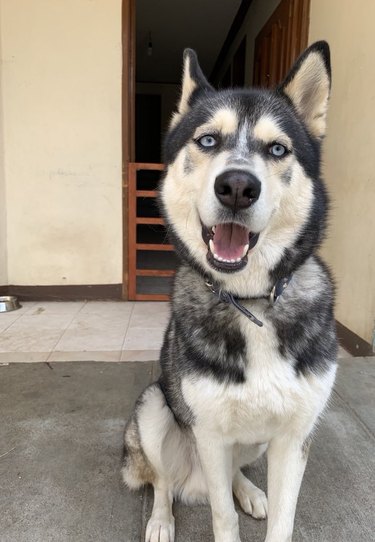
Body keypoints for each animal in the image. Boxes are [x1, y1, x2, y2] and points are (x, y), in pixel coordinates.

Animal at [122, 42, 338, 542]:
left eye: (277, 149)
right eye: (207, 141)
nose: (238, 186)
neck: (250, 302)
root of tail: (193, 483)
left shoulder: (293, 438)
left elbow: (284, 520)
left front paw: (261, 503)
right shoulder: (209, 434)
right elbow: (223, 517)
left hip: (251, 444)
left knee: (235, 471)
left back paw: (250, 491)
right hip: (154, 408)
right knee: (162, 481)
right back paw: (161, 520)